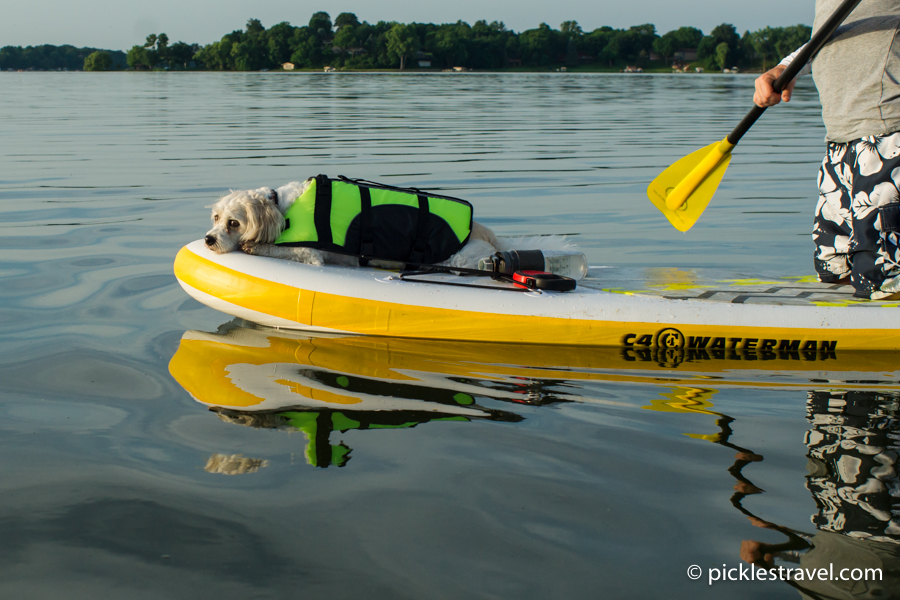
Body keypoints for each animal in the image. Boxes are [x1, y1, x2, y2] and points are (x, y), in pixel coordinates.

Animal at [204, 177, 568, 268]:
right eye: (216, 218)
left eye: (234, 224)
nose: (208, 239)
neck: (282, 207)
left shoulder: (309, 253)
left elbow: (274, 248)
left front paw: (254, 245)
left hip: (461, 259)